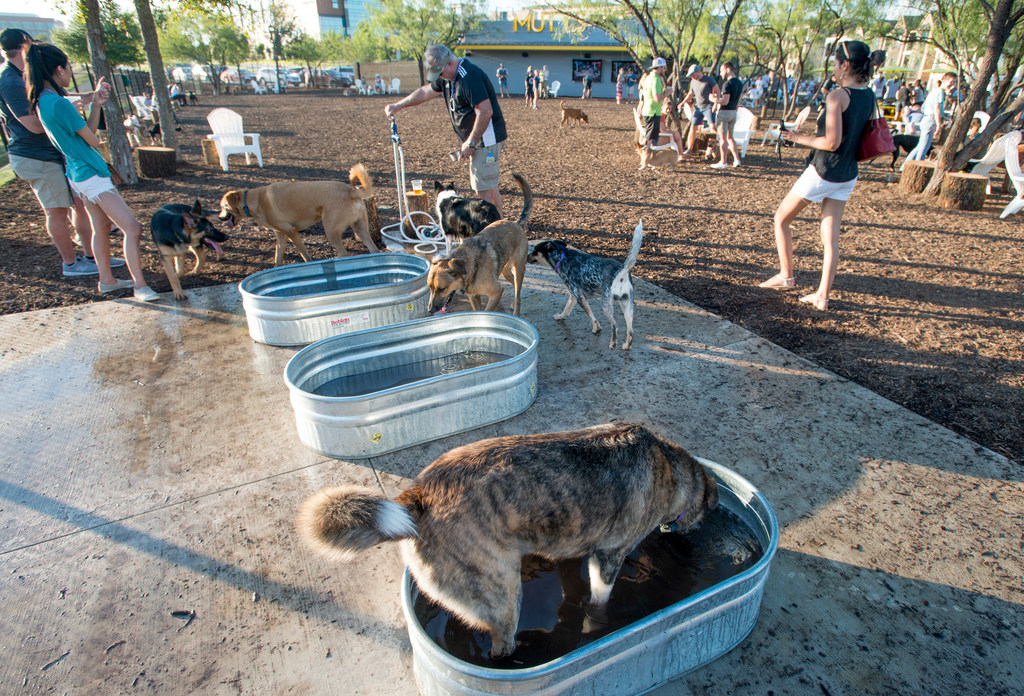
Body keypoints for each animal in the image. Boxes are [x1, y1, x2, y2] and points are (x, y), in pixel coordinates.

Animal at [217, 161, 380, 264]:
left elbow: (304, 254)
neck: (254, 199)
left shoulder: (291, 232)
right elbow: (278, 257)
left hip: (331, 230)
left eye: (223, 206)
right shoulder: (280, 234)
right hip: (360, 228)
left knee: (344, 254)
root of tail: (351, 191)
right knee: (374, 250)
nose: (219, 218)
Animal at [292, 421, 716, 659]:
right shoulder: (608, 559)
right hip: (504, 595)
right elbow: (599, 603)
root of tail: (418, 496)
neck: (670, 469)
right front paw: (597, 623)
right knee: (500, 646)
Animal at [425, 175, 532, 317]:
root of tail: (515, 222)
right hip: (505, 271)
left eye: (442, 288)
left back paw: (516, 313)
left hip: (518, 268)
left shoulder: (496, 292)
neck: (470, 267)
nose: (430, 310)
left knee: (518, 294)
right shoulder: (474, 297)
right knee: (515, 288)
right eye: (430, 288)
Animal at [532, 221, 643, 350]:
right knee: (630, 330)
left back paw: (612, 344)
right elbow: (566, 309)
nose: (527, 256)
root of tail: (622, 272)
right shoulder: (573, 296)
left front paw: (596, 329)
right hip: (627, 306)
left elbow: (592, 317)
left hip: (607, 307)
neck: (563, 257)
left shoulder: (580, 297)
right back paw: (626, 346)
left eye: (535, 250)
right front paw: (560, 316)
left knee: (615, 326)